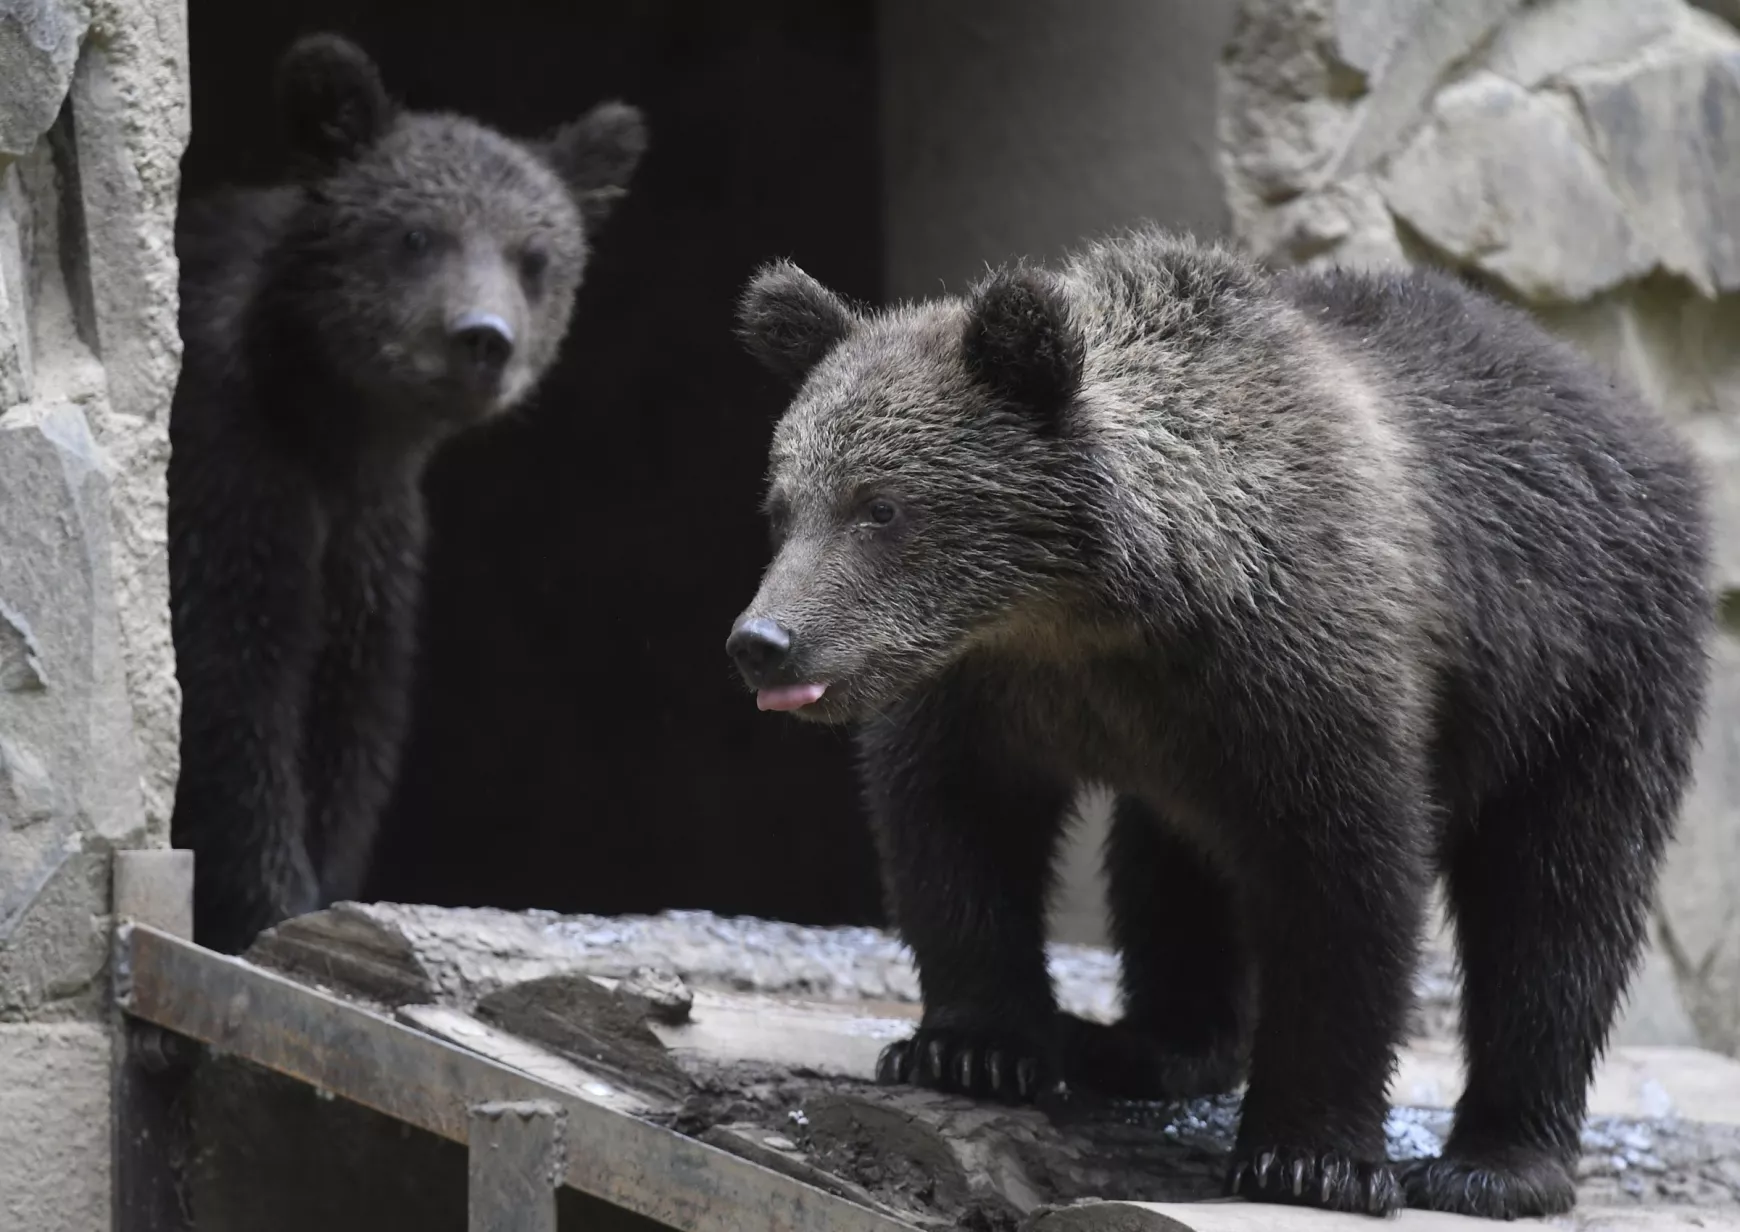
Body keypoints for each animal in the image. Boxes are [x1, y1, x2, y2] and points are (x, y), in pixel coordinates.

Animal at [173, 28, 650, 953]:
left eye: (535, 257)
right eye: (417, 235)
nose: (483, 339)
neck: (332, 423)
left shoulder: (373, 539)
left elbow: (351, 723)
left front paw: (322, 894)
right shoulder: (230, 477)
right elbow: (233, 694)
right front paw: (269, 907)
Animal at [723, 231, 1712, 1225]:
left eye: (880, 506)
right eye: (782, 506)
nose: (763, 643)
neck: (1097, 612)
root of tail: (1645, 426)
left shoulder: (1307, 675)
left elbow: (1346, 886)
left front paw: (1309, 1156)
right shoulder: (992, 690)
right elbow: (957, 830)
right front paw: (972, 1048)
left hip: (1590, 670)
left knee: (1557, 901)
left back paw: (1495, 1164)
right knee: (1172, 862)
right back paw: (1144, 1043)